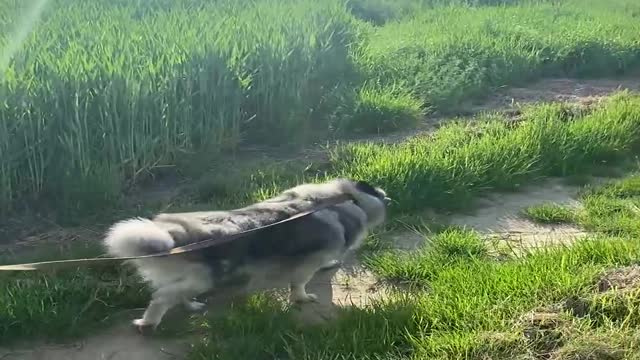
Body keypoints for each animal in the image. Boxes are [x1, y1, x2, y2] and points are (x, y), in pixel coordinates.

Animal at [104, 177, 390, 330]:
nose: (387, 197)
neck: (343, 198)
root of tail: (176, 237)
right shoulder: (306, 265)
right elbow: (299, 285)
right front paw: (303, 299)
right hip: (205, 277)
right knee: (161, 297)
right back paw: (147, 324)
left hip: (193, 278)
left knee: (176, 294)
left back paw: (192, 306)